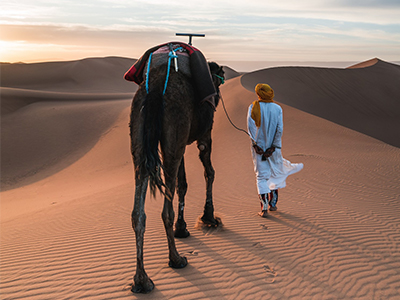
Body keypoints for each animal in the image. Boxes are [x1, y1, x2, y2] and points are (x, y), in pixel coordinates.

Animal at [129, 47, 225, 292]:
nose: (218, 96)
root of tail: (155, 87)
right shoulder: (204, 136)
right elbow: (210, 172)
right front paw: (208, 216)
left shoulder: (179, 145)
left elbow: (183, 184)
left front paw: (182, 228)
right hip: (175, 128)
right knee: (166, 210)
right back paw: (176, 258)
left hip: (141, 136)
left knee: (138, 213)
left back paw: (142, 280)